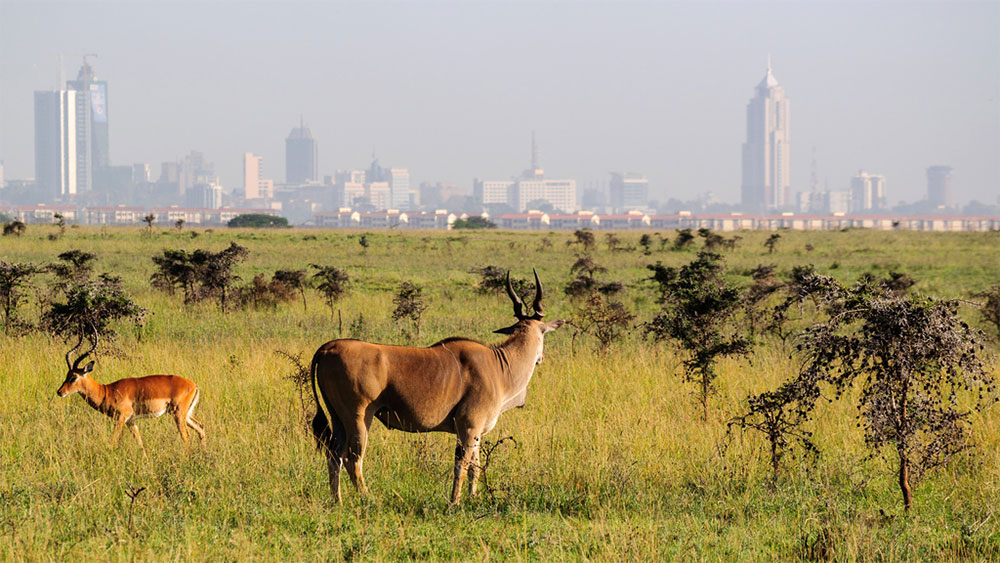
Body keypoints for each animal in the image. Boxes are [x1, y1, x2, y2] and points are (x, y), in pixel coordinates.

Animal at [57, 330, 205, 450]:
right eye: (67, 375)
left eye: (74, 377)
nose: (60, 392)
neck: (107, 391)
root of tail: (194, 385)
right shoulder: (131, 421)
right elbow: (140, 443)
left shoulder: (121, 418)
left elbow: (112, 440)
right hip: (186, 415)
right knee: (201, 427)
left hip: (178, 415)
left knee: (186, 438)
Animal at [312, 270, 564, 504]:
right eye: (543, 333)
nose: (540, 358)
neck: (500, 365)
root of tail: (327, 348)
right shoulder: (468, 427)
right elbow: (462, 466)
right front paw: (455, 501)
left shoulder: (475, 433)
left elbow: (474, 467)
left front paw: (472, 498)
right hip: (359, 418)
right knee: (353, 459)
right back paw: (370, 499)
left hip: (338, 418)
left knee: (334, 456)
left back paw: (338, 501)